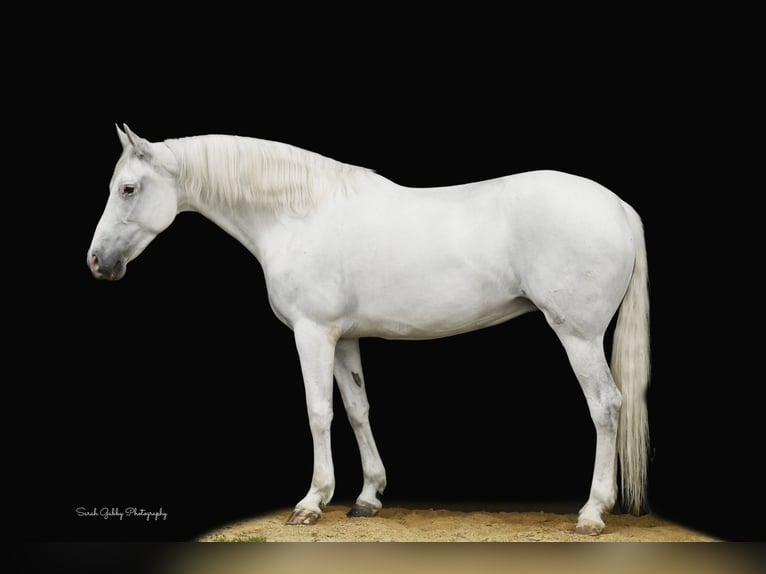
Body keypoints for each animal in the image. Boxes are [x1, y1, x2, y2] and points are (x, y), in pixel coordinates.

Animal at [87, 125, 652, 536]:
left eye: (128, 189)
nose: (96, 262)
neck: (298, 215)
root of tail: (620, 207)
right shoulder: (345, 339)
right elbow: (358, 410)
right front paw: (366, 498)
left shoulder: (312, 334)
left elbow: (318, 412)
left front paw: (311, 502)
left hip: (577, 335)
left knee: (605, 407)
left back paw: (592, 513)